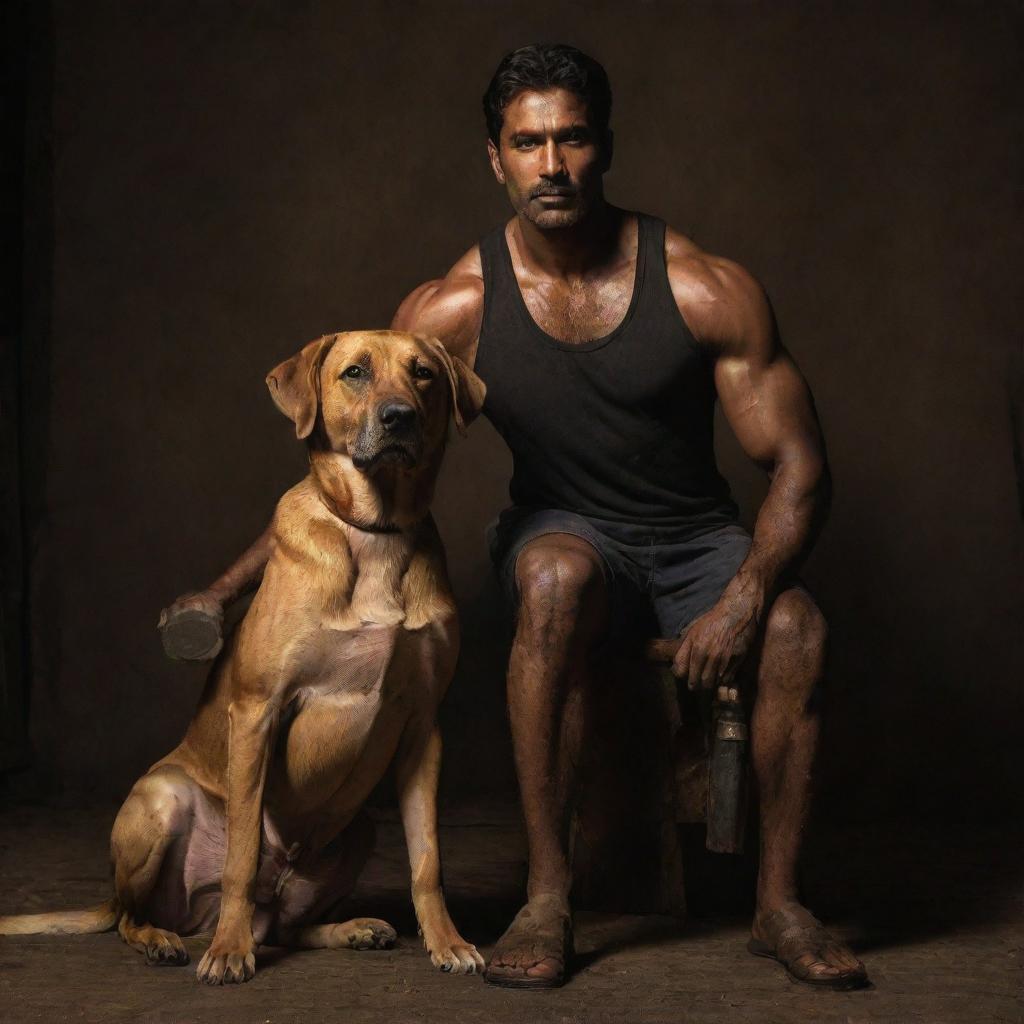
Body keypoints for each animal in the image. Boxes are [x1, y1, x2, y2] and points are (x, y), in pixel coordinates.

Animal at [0, 329, 487, 983]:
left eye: (425, 373)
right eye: (355, 372)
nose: (399, 417)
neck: (374, 533)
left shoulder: (422, 727)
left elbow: (427, 859)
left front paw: (446, 941)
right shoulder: (259, 711)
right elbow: (243, 851)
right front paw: (229, 953)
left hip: (358, 828)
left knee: (287, 926)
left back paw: (349, 929)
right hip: (160, 799)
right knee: (134, 917)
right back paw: (171, 939)